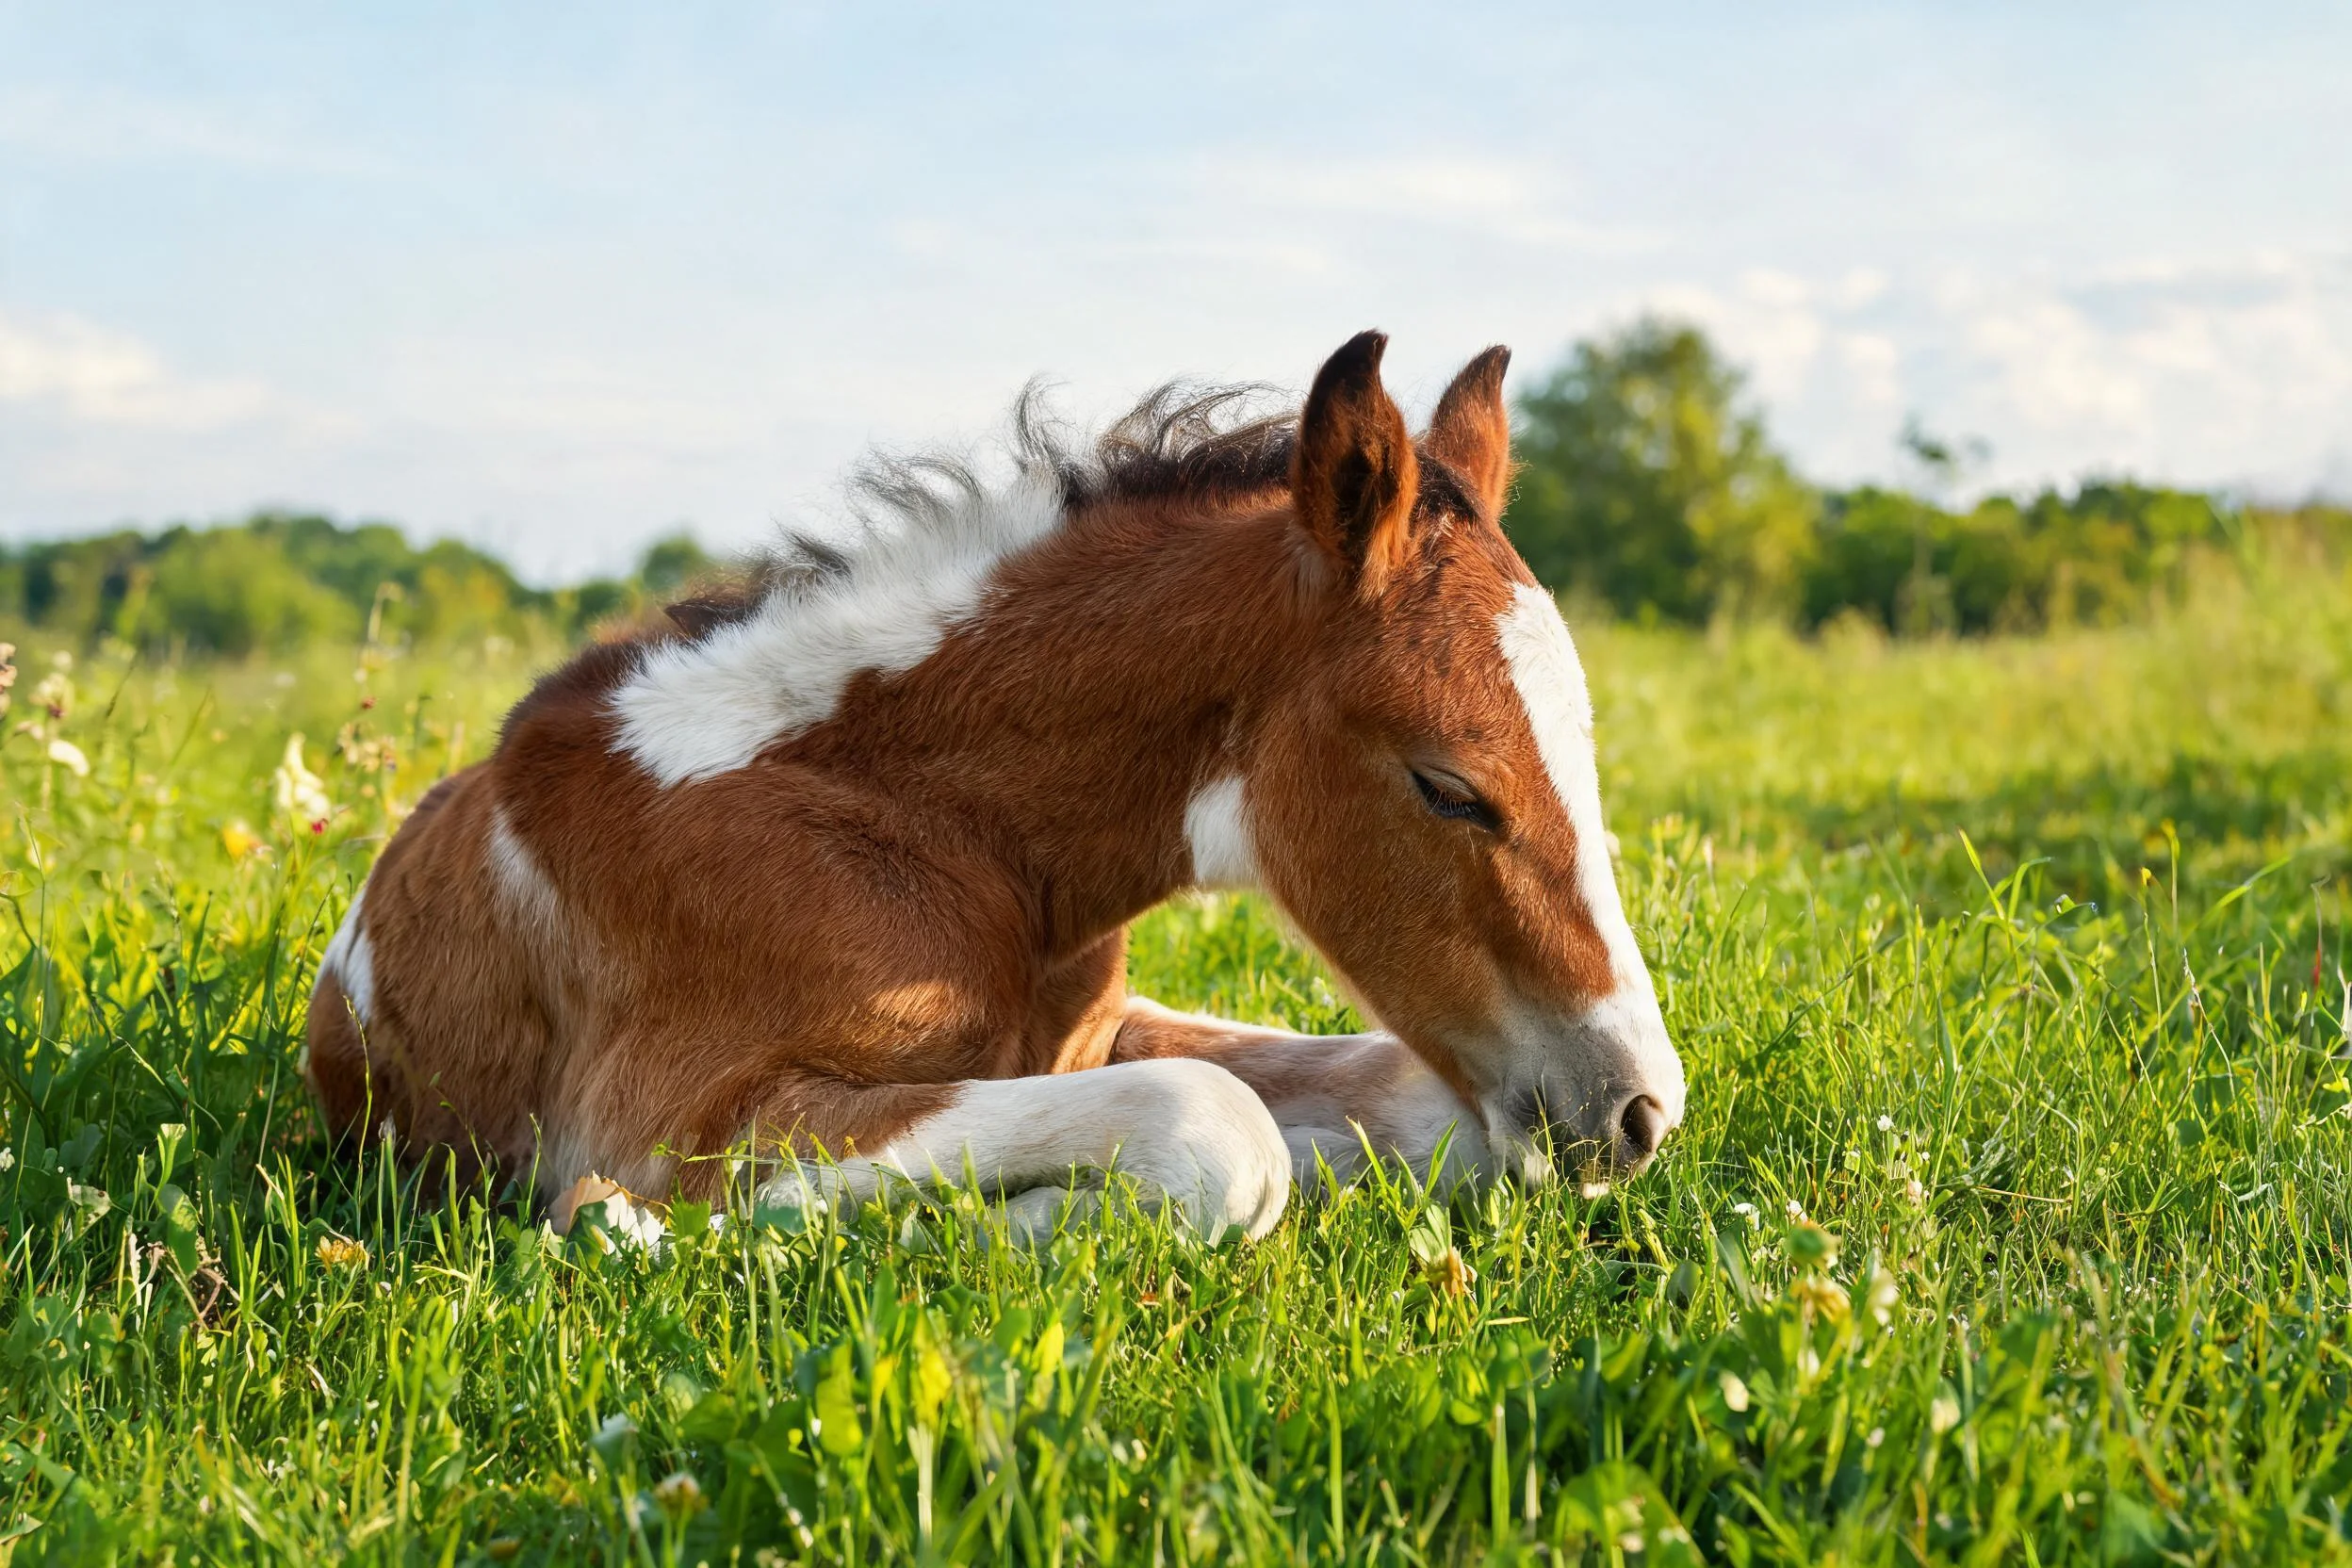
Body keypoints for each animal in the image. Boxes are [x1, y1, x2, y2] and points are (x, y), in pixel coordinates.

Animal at [304, 331, 1685, 1242]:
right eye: (1448, 785)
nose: (1639, 1110)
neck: (930, 832)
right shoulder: (673, 1120)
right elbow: (1217, 1129)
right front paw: (689, 1235)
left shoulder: (1096, 1032)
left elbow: (1404, 1109)